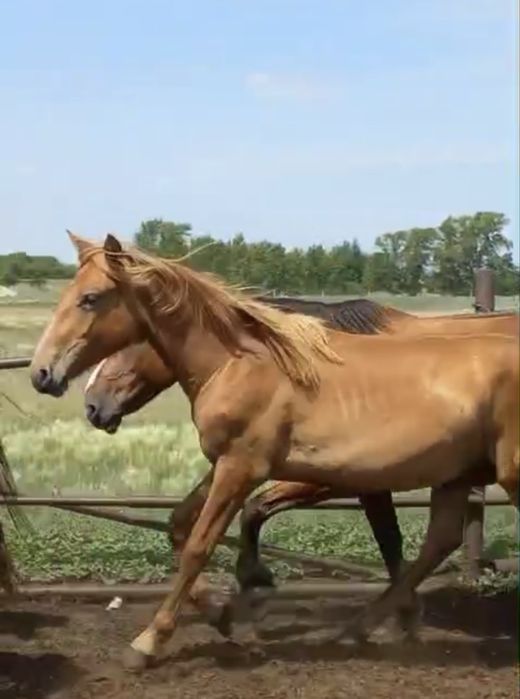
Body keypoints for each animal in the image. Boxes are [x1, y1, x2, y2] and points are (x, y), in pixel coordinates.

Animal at [29, 232, 519, 671]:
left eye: (90, 298)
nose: (43, 375)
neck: (244, 364)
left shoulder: (247, 467)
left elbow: (200, 544)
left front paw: (148, 643)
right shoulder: (232, 463)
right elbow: (183, 524)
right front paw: (231, 611)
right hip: (456, 476)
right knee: (441, 540)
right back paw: (352, 631)